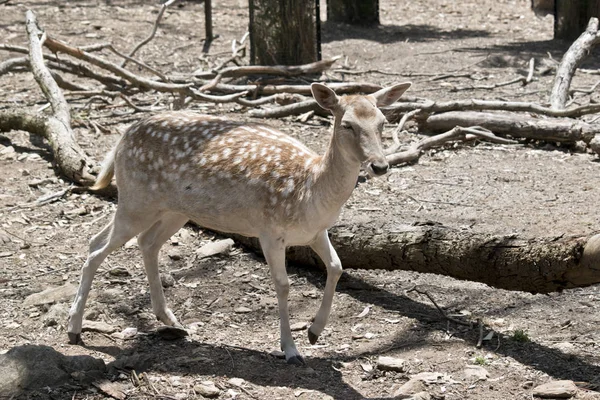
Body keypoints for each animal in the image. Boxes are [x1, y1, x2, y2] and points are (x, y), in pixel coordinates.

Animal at [67, 82, 412, 366]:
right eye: (348, 125)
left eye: (383, 122)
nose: (380, 166)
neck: (309, 191)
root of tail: (122, 137)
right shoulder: (269, 232)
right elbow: (283, 285)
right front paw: (291, 349)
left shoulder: (316, 232)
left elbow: (338, 266)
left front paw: (314, 332)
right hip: (136, 200)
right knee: (96, 247)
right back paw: (74, 328)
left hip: (173, 210)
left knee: (143, 242)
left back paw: (169, 319)